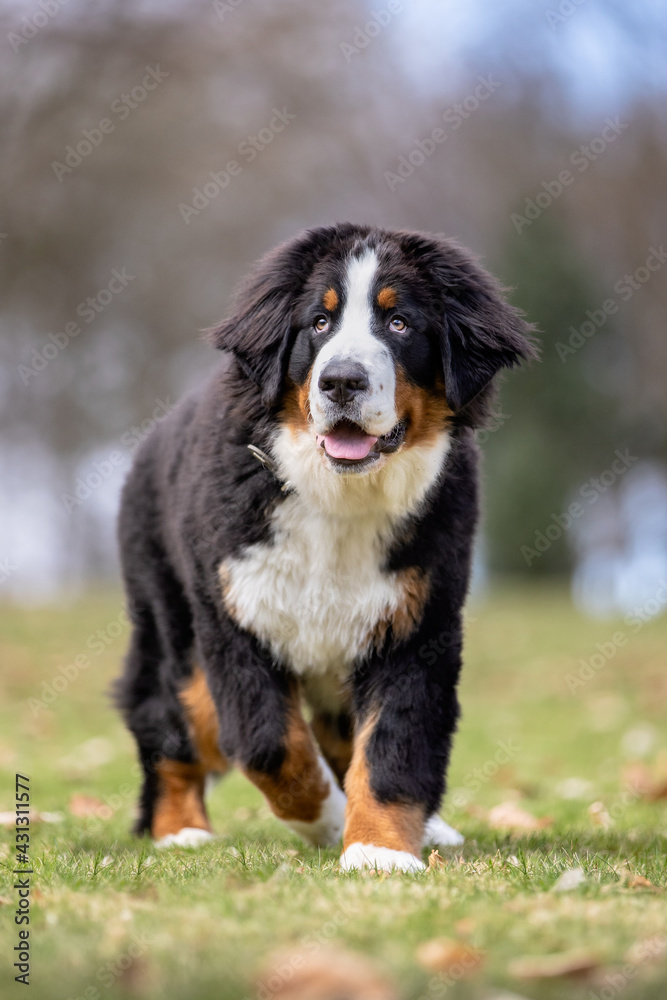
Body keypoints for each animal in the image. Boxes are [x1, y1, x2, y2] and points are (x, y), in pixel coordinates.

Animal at [116, 223, 536, 872]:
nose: (341, 381)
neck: (340, 497)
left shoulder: (415, 625)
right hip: (177, 634)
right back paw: (181, 830)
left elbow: (392, 747)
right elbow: (271, 747)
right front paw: (333, 821)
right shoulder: (237, 622)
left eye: (399, 323)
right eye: (318, 322)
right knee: (169, 723)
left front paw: (379, 851)